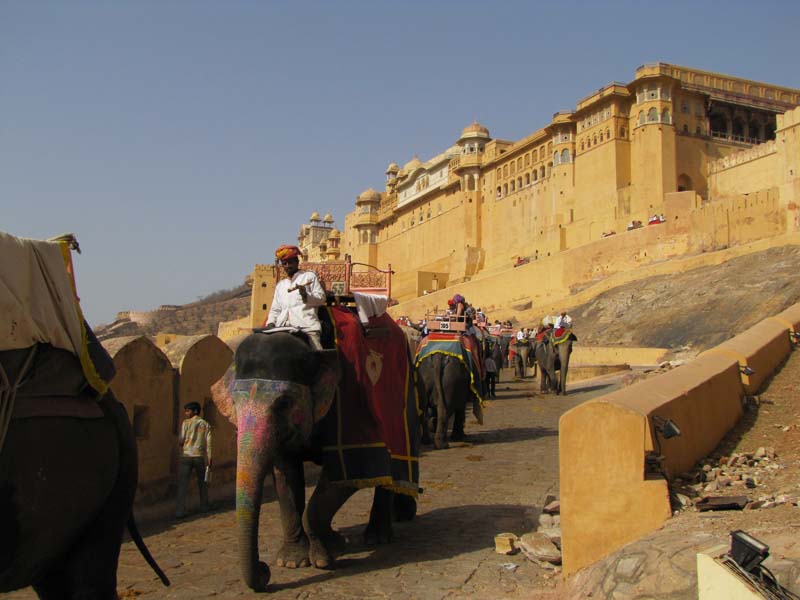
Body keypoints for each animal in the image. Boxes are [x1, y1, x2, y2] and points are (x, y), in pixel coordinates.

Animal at [212, 308, 422, 592]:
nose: (264, 571)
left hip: (404, 399)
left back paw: (379, 535)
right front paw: (292, 561)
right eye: (233, 403)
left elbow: (347, 475)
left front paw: (328, 552)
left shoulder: (350, 398)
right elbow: (286, 478)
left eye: (284, 403)